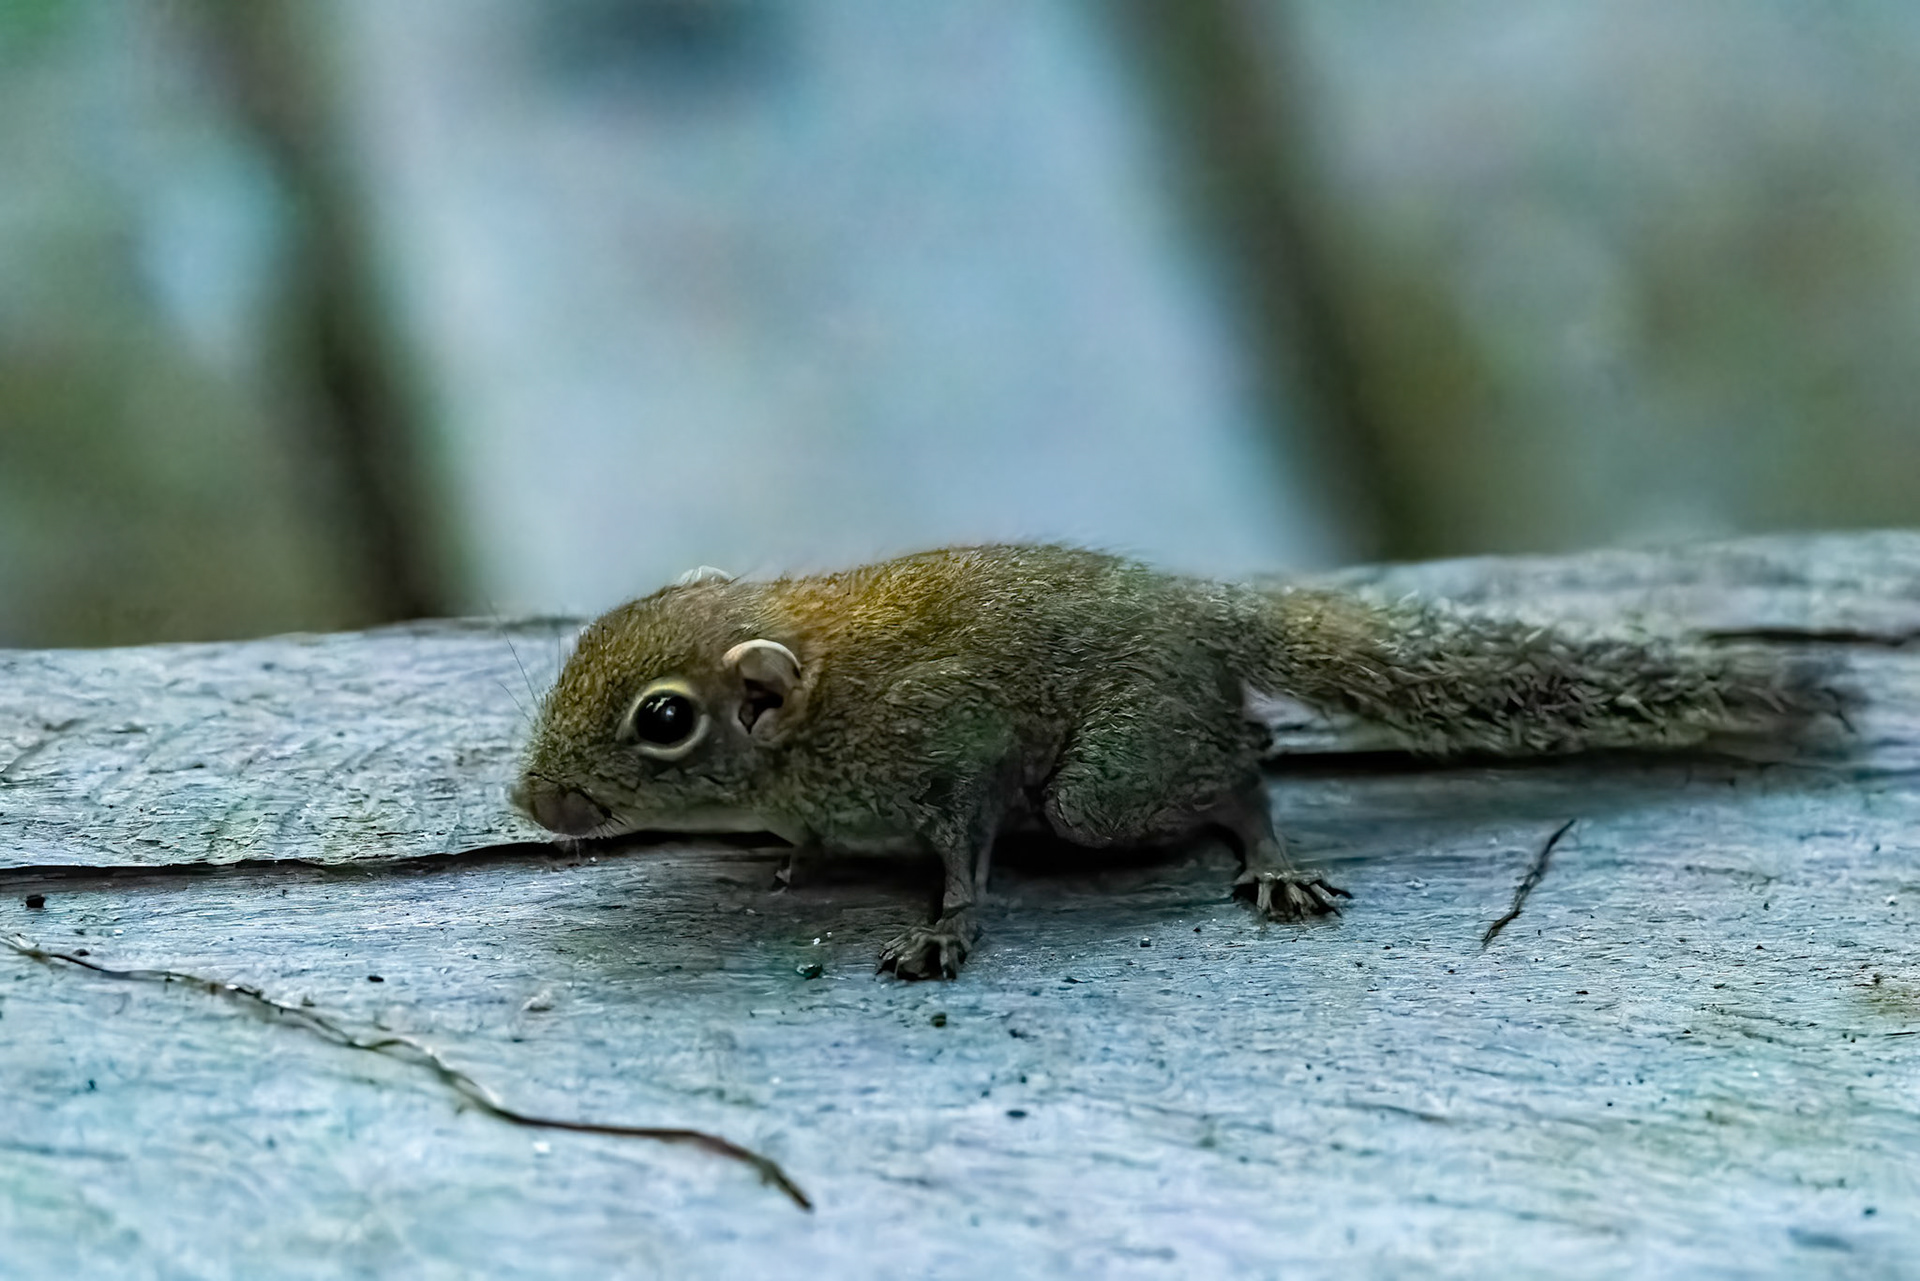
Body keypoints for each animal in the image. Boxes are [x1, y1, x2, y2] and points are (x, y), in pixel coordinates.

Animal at [512, 544, 1839, 980]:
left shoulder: (952, 747)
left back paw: (1269, 852)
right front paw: (796, 855)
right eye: (585, 641)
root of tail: (1202, 609)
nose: (529, 796)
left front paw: (945, 927)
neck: (820, 700)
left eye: (664, 720)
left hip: (1107, 784)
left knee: (1241, 762)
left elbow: (963, 849)